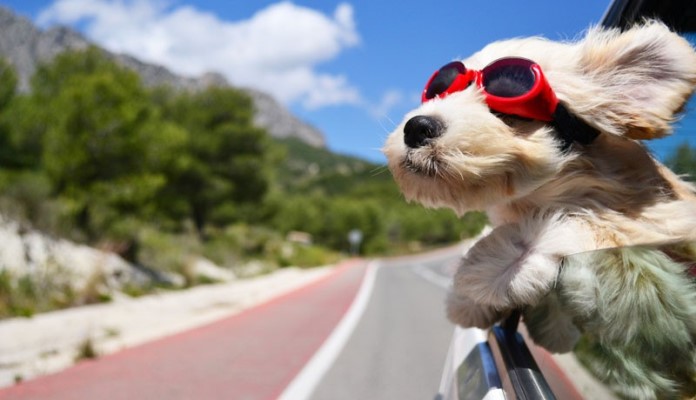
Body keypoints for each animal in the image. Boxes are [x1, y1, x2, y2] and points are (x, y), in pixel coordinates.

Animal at [384, 22, 696, 400]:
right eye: (437, 91)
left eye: (508, 109)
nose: (416, 127)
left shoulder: (666, 221)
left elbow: (598, 225)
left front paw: (493, 267)